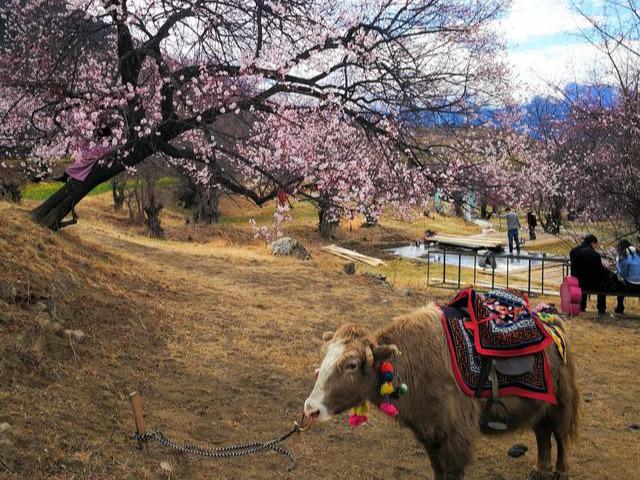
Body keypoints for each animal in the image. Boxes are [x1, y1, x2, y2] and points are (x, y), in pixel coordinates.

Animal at [302, 306, 576, 478]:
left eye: (351, 364)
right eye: (326, 357)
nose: (310, 409)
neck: (413, 364)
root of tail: (553, 323)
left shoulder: (456, 438)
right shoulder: (430, 435)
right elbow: (437, 470)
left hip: (560, 403)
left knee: (560, 436)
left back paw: (560, 471)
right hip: (539, 405)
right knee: (542, 434)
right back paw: (540, 470)